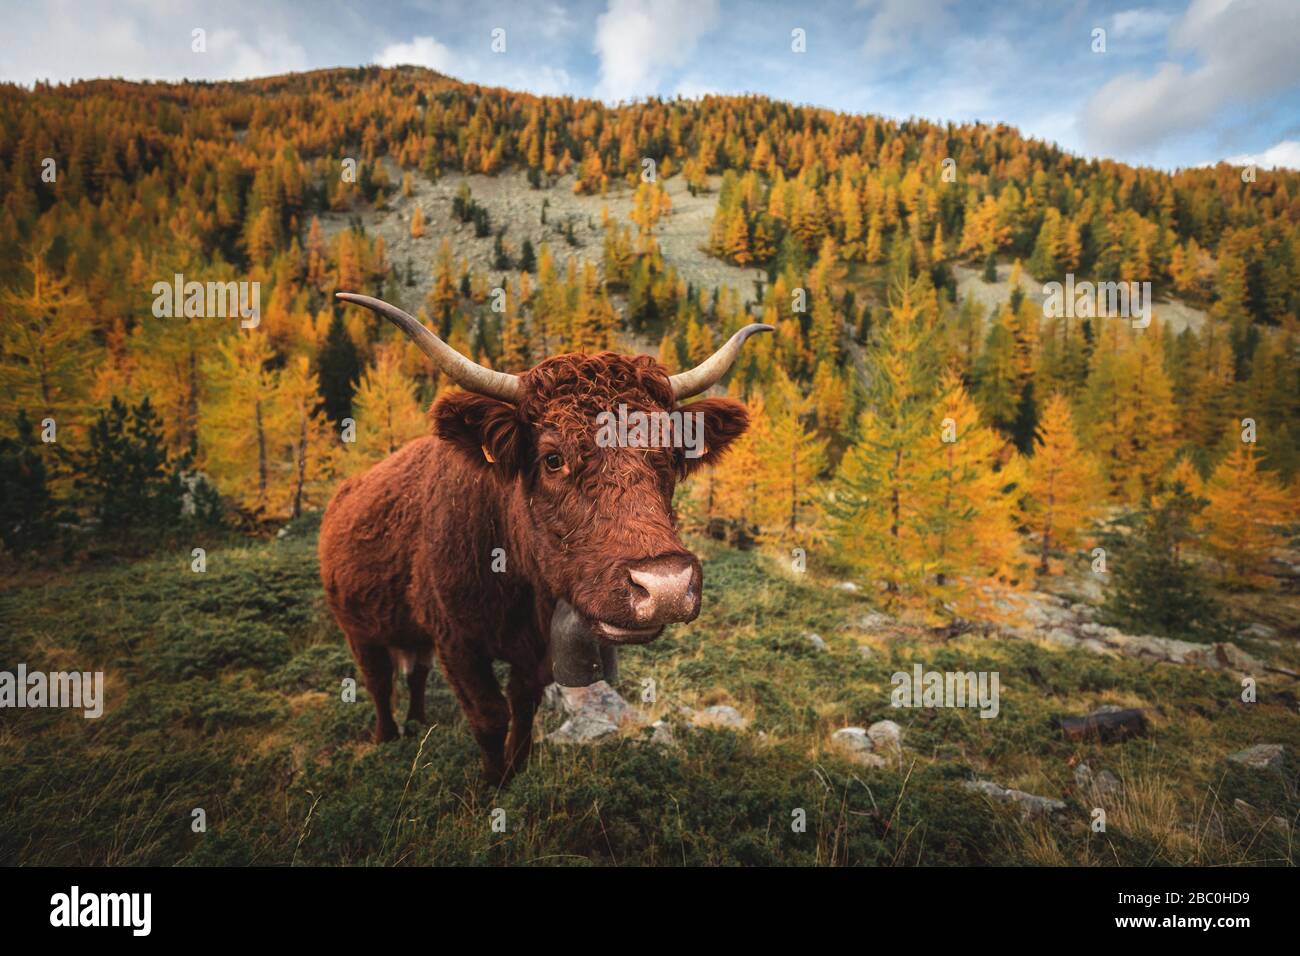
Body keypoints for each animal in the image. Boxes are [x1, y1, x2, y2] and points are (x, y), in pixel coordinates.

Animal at [322, 293, 769, 785]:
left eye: (671, 453)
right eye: (553, 458)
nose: (665, 587)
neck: (515, 577)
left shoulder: (532, 652)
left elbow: (523, 707)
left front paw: (515, 772)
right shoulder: (456, 641)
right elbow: (489, 715)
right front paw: (493, 783)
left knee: (414, 672)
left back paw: (419, 722)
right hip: (357, 627)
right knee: (378, 680)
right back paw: (387, 737)